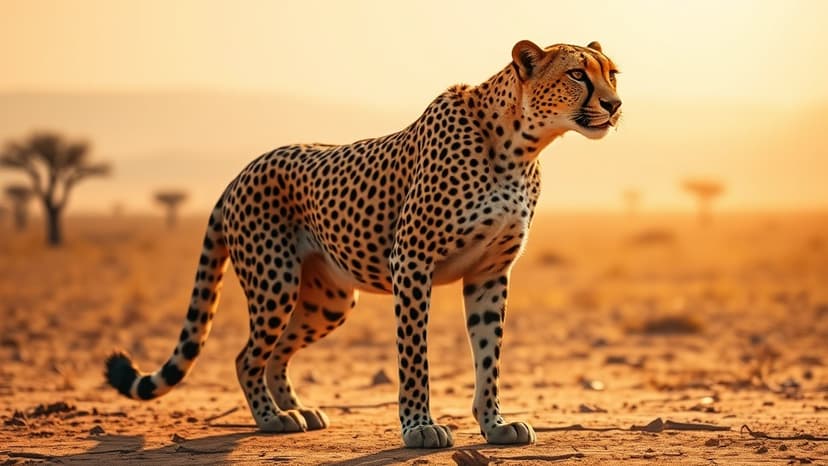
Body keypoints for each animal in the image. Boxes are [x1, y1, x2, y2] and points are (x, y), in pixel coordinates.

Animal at [105, 39, 621, 448]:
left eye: (612, 73)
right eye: (577, 74)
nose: (615, 104)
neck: (521, 147)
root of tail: (244, 168)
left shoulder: (489, 273)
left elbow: (488, 354)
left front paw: (494, 424)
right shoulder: (411, 262)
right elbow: (414, 355)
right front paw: (419, 427)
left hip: (328, 301)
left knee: (276, 351)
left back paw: (298, 411)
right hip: (275, 284)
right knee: (246, 355)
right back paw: (272, 418)